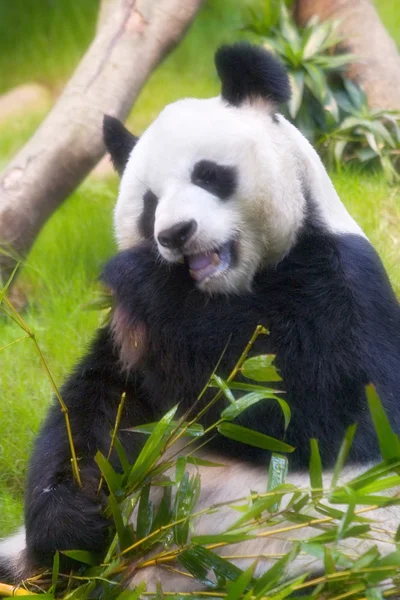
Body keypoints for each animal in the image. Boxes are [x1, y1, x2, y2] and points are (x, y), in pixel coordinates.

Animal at [0, 42, 400, 592]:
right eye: (149, 205)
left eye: (208, 174)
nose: (175, 233)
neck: (226, 292)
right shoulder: (132, 339)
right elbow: (95, 410)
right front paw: (73, 522)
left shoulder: (344, 283)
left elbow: (322, 407)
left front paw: (137, 271)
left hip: (333, 554)